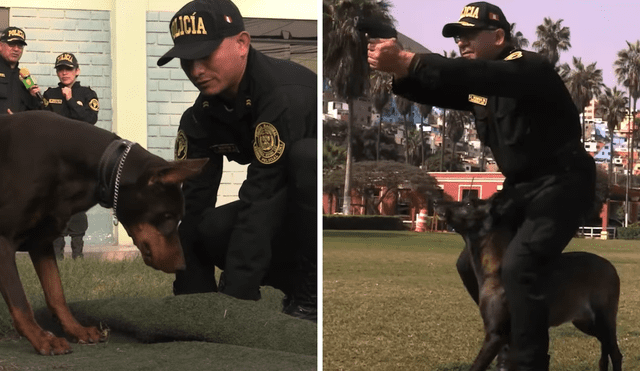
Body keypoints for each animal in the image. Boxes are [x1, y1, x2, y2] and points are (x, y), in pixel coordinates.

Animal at [0, 112, 206, 356]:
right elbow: (21, 303)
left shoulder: (40, 242)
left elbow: (56, 293)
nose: (181, 266)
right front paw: (42, 339)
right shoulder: (3, 241)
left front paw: (76, 330)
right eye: (167, 216)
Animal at [438, 199, 624, 371]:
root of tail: (610, 266)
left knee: (615, 353)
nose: (437, 203)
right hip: (585, 322)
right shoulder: (510, 339)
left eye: (469, 203)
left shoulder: (496, 335)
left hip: (603, 319)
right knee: (605, 351)